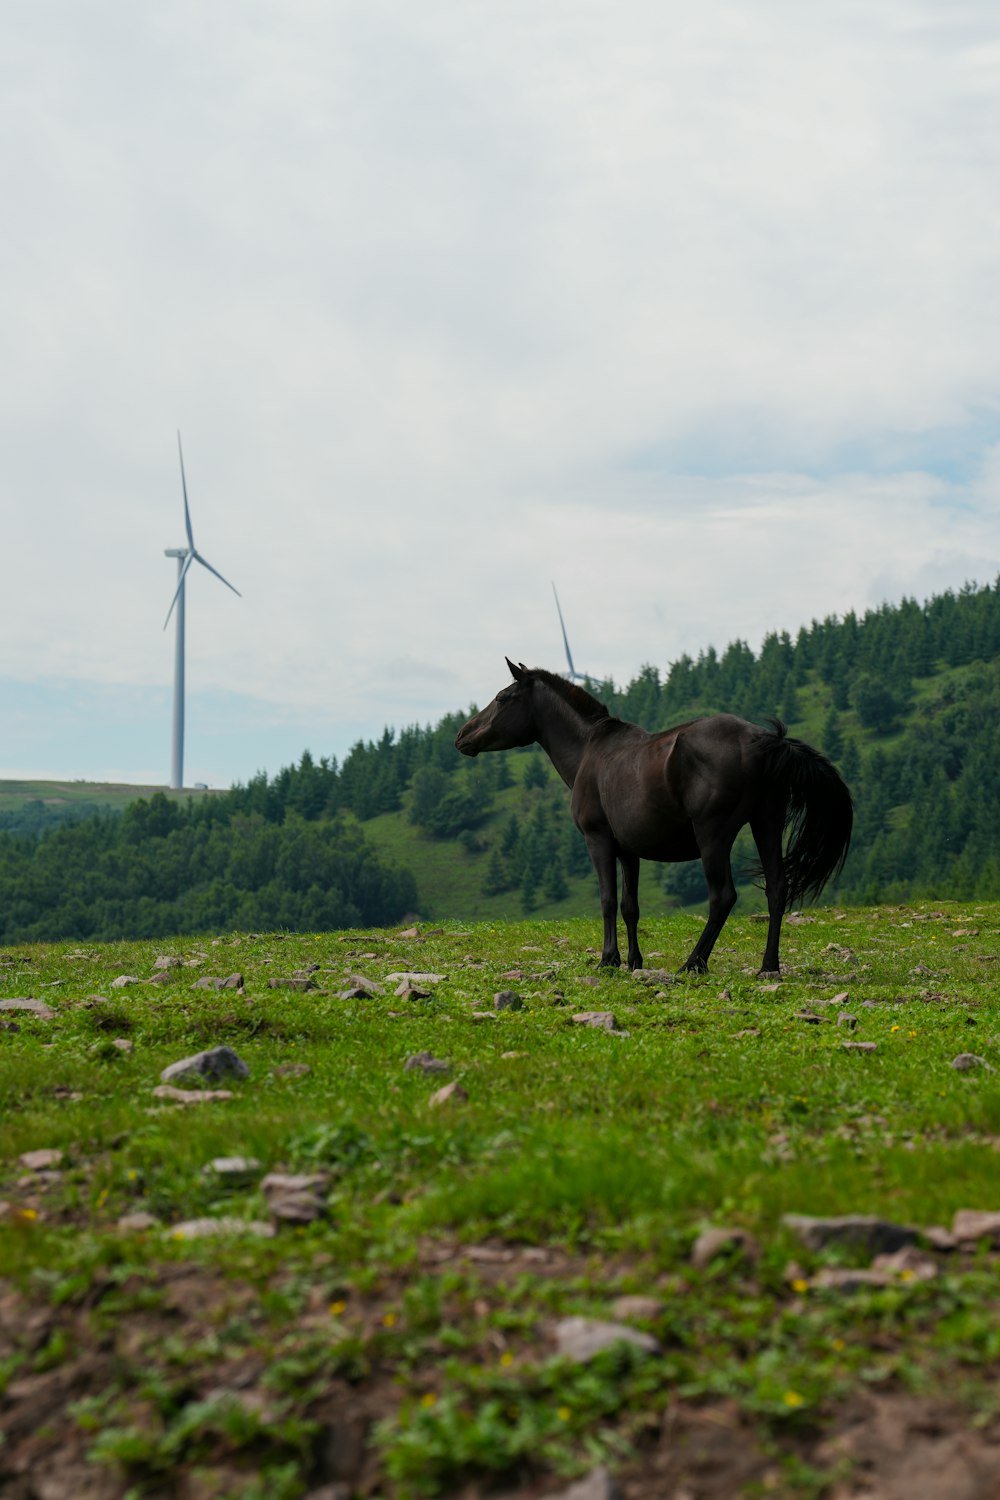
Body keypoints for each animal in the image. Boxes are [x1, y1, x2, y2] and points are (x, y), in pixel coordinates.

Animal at [452, 660, 851, 972]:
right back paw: (768, 966)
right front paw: (634, 961)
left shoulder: (598, 841)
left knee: (722, 896)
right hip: (766, 824)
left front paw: (608, 960)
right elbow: (631, 906)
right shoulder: (630, 851)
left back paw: (694, 963)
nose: (461, 735)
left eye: (502, 698)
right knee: (777, 889)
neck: (590, 751)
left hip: (713, 836)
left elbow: (608, 900)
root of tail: (767, 740)